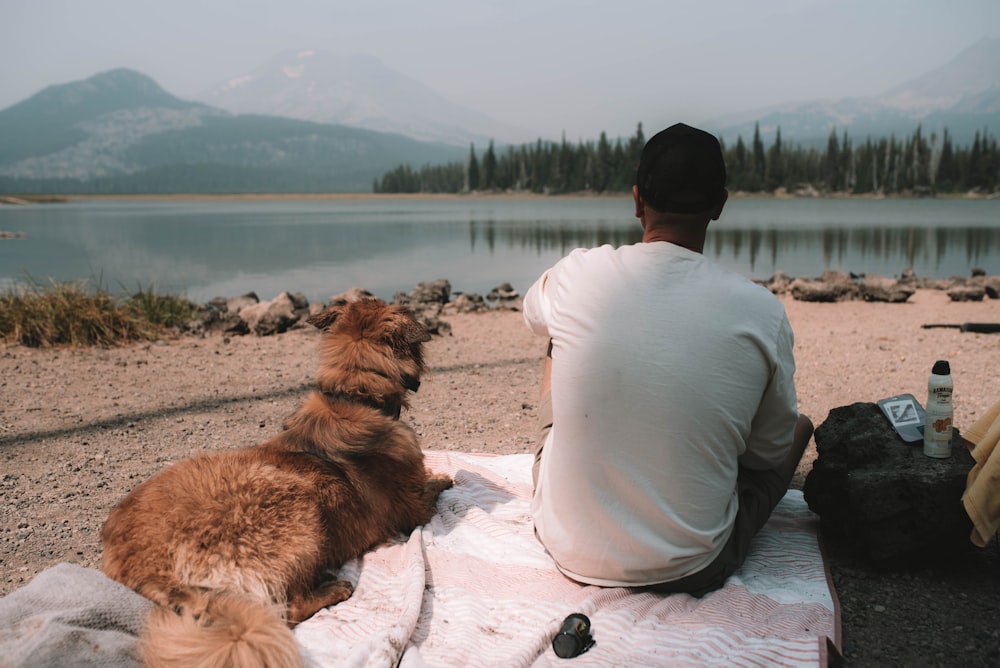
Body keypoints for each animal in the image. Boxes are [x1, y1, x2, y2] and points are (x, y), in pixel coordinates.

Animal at [99, 298, 452, 668]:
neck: (351, 397)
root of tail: (141, 561)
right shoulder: (414, 507)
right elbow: (432, 488)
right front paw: (446, 477)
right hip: (294, 503)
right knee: (287, 609)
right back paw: (333, 589)